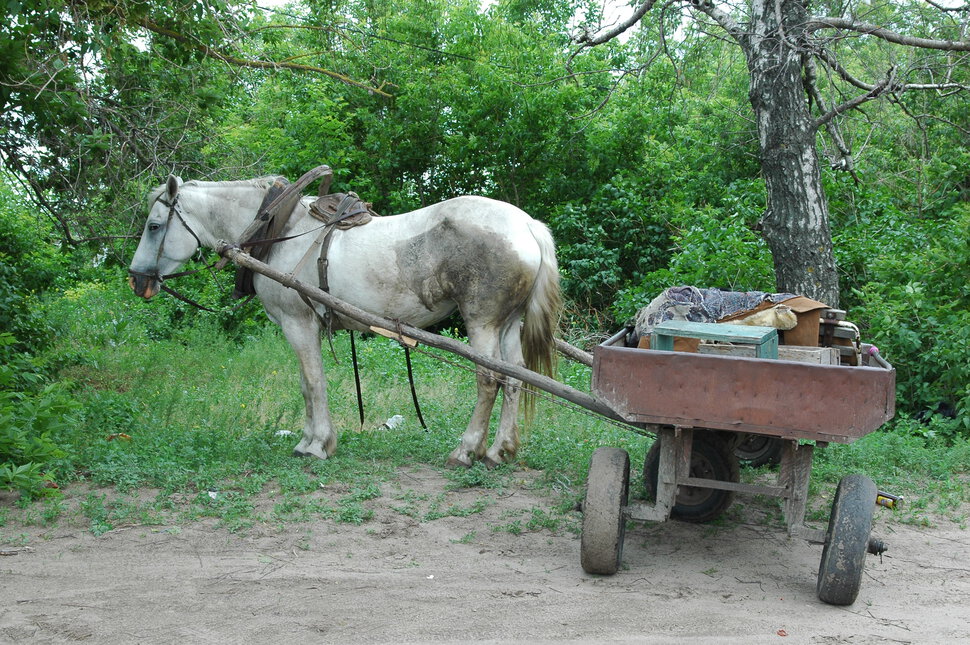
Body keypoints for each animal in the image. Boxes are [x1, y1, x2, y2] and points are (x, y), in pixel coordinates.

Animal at [126, 176, 560, 468]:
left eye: (153, 226)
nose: (136, 280)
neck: (280, 232)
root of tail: (526, 226)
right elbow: (306, 385)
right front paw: (309, 440)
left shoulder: (298, 323)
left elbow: (313, 382)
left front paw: (317, 445)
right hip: (508, 323)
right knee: (515, 378)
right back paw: (499, 451)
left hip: (482, 321)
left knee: (489, 379)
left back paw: (466, 451)